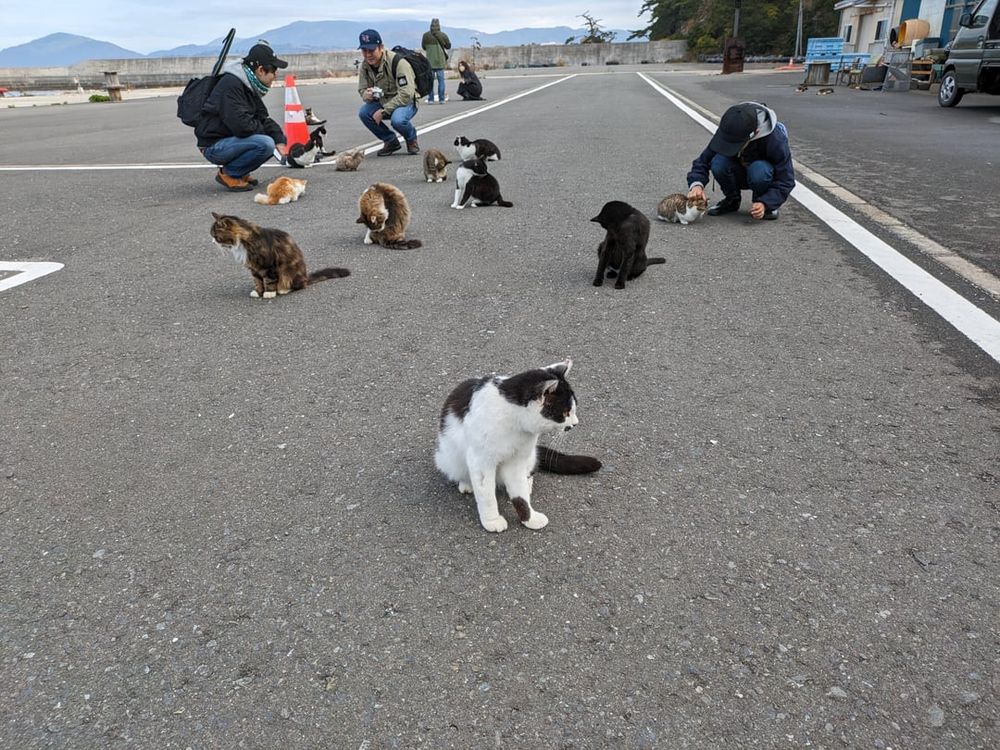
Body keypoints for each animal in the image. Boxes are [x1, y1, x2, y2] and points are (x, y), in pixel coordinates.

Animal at [209, 212, 350, 300]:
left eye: (215, 236)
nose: (212, 242)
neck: (244, 240)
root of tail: (305, 277)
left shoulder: (268, 265)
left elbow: (269, 280)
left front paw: (269, 293)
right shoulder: (254, 268)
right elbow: (257, 280)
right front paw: (258, 291)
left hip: (289, 271)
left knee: (297, 285)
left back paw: (283, 289)